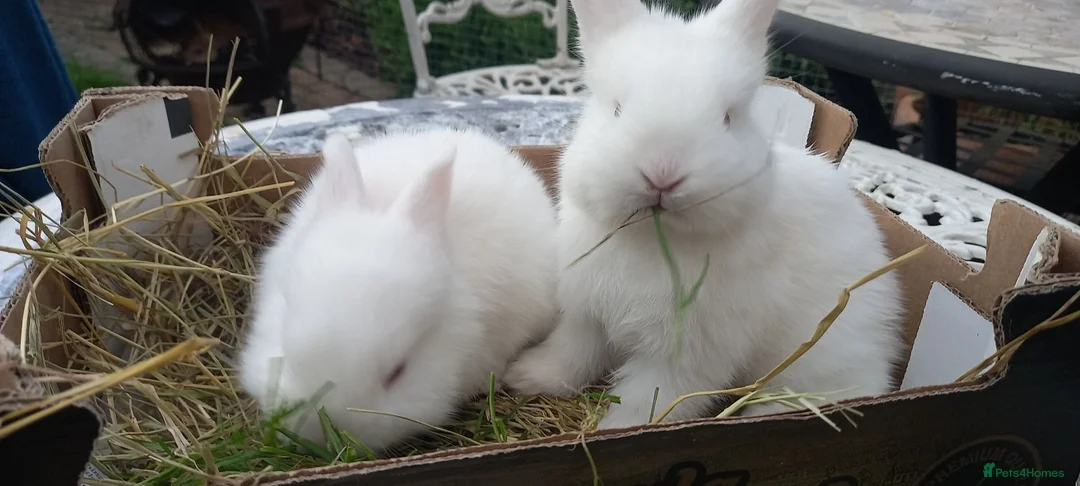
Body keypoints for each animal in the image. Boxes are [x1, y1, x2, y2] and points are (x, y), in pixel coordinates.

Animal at [503, 0, 906, 430]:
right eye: (616, 109)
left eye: (728, 118)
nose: (662, 174)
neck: (653, 239)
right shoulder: (586, 316)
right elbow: (570, 356)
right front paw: (524, 375)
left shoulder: (688, 356)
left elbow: (649, 401)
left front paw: (615, 429)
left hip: (825, 357)